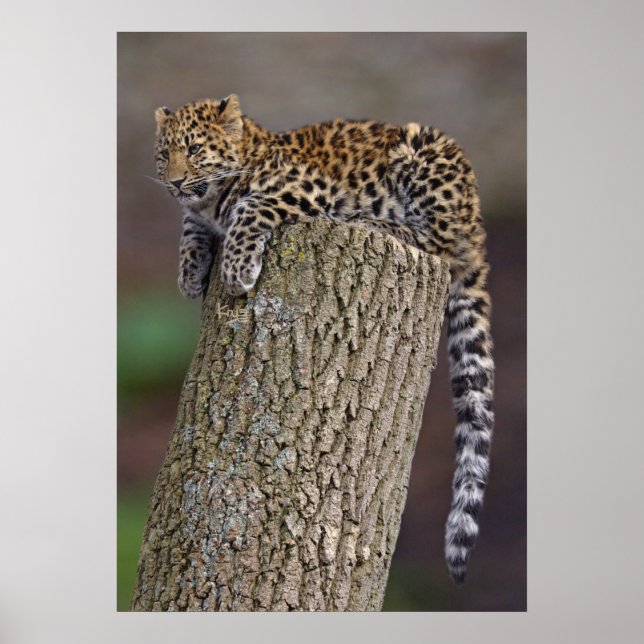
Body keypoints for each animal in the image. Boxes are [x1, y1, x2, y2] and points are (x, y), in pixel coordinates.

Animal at [153, 95, 494, 585]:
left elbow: (249, 208)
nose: (175, 180)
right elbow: (189, 227)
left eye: (196, 150)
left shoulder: (304, 188)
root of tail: (477, 220)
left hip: (422, 152)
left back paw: (373, 221)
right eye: (164, 155)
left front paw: (236, 270)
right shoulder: (198, 213)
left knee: (439, 243)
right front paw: (190, 272)